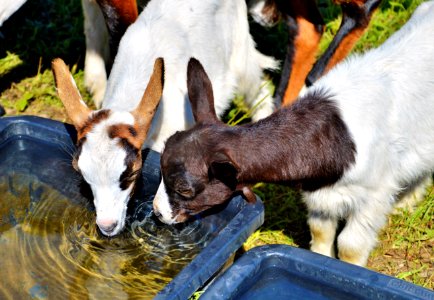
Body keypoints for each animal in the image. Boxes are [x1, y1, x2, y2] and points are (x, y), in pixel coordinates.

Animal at [154, 1, 434, 266]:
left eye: (185, 189)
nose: (156, 212)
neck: (335, 134)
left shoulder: (372, 195)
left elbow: (350, 245)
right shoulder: (321, 195)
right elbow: (321, 231)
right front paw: (321, 259)